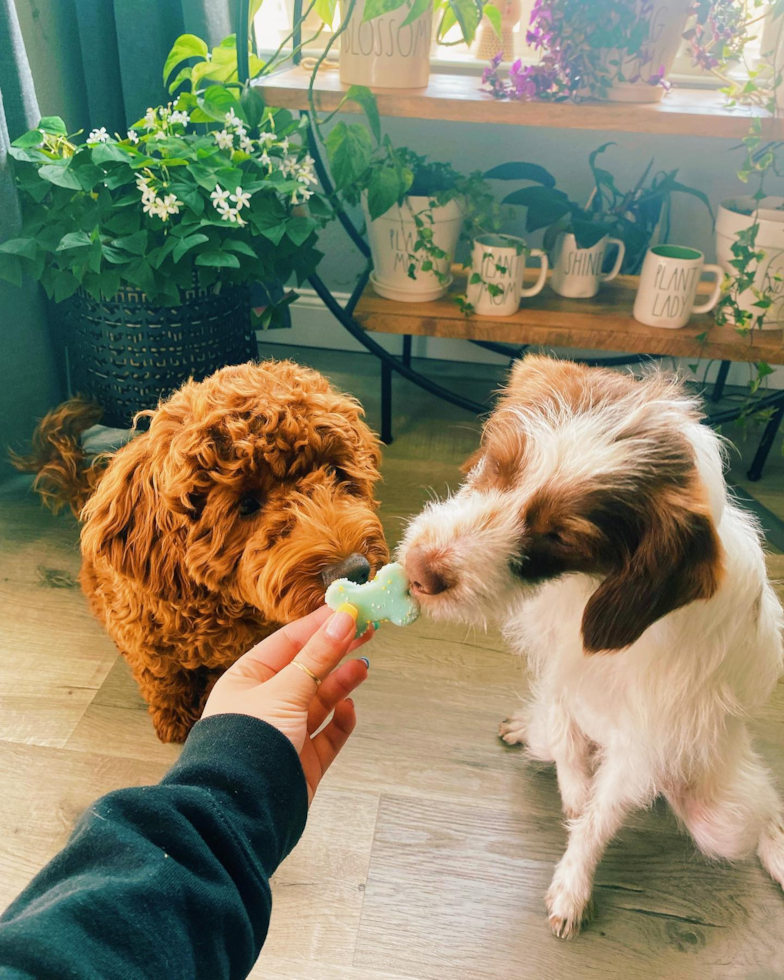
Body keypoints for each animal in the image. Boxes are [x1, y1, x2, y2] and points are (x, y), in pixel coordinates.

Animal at [13, 362, 388, 744]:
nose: (354, 570)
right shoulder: (147, 644)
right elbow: (163, 681)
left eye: (335, 472)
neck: (218, 605)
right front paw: (175, 721)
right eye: (247, 504)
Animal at [398, 356, 784, 936]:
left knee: (759, 815)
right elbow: (566, 741)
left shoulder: (643, 745)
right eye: (499, 466)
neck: (590, 589)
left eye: (560, 536)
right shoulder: (559, 668)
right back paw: (527, 728)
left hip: (724, 814)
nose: (418, 572)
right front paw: (573, 790)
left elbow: (599, 816)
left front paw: (573, 882)